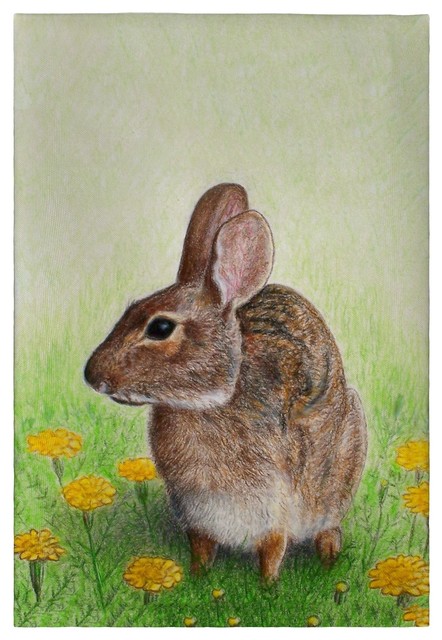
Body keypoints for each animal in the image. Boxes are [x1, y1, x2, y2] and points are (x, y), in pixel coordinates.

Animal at [84, 183, 367, 582]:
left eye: (160, 327)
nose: (92, 375)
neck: (214, 399)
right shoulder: (197, 514)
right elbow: (201, 549)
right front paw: (196, 579)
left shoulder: (274, 510)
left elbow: (272, 553)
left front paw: (269, 589)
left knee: (329, 527)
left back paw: (328, 561)